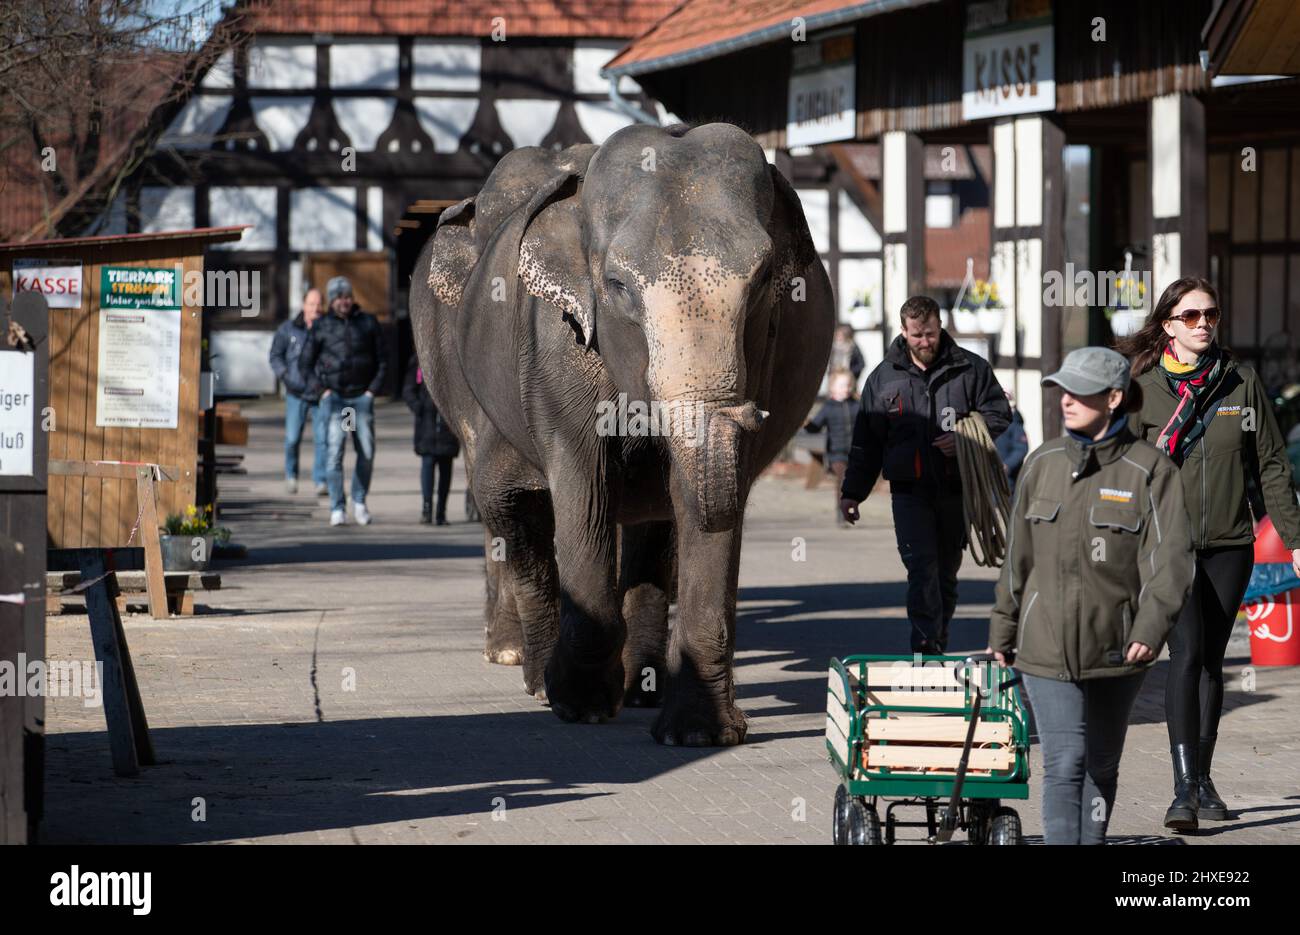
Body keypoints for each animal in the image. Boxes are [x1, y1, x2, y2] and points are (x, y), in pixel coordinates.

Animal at [410, 122, 834, 745]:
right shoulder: (553, 346)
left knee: (650, 529)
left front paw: (698, 734)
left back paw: (640, 688)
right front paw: (576, 704)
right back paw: (524, 665)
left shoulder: (764, 354)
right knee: (510, 509)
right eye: (616, 285)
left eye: (760, 283)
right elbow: (581, 496)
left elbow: (690, 505)